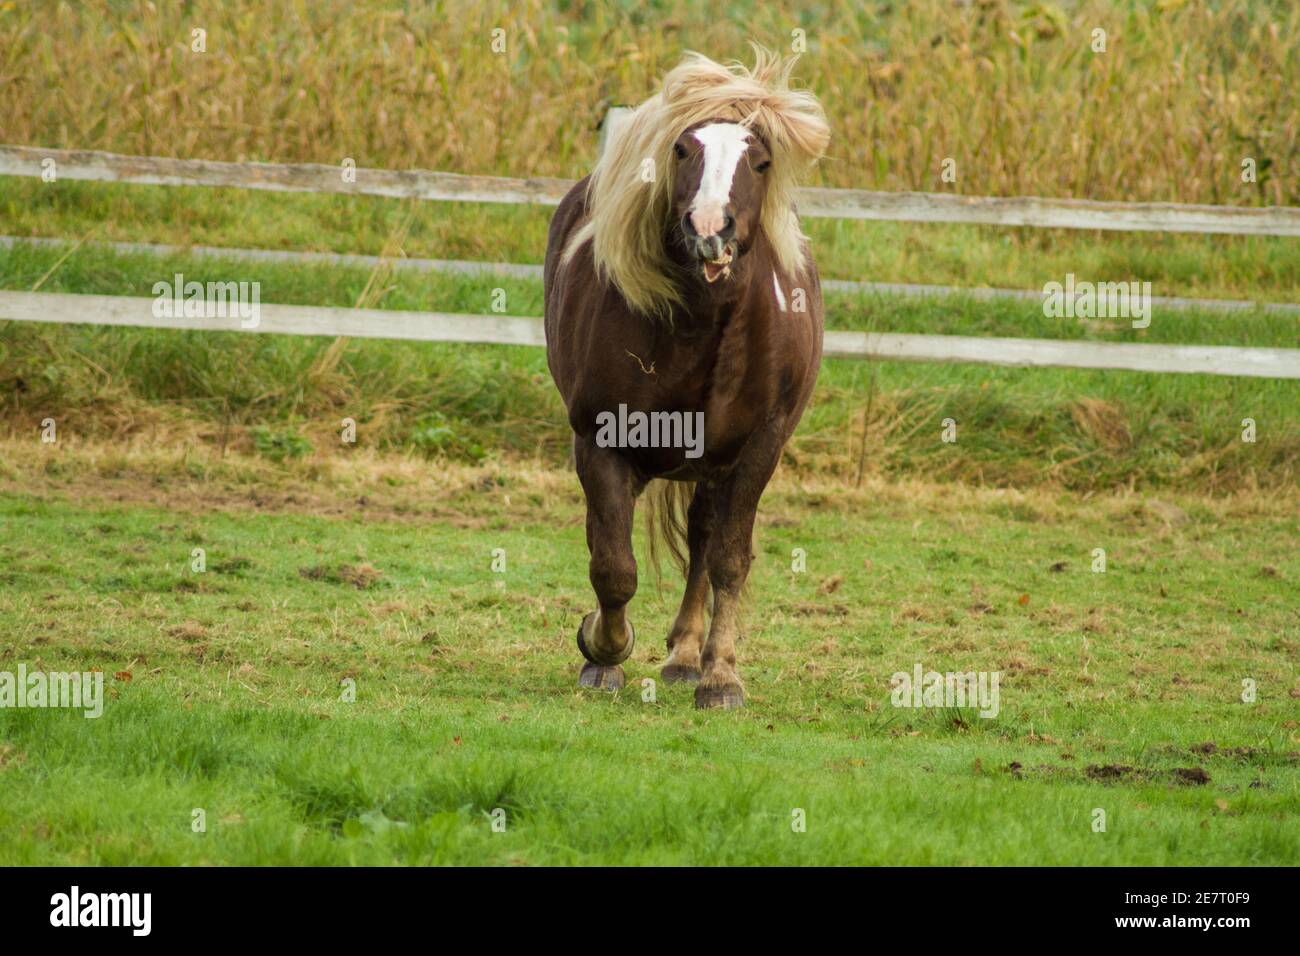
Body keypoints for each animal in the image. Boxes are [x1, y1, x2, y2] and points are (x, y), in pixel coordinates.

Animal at [543, 48, 830, 709]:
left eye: (760, 160)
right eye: (682, 149)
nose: (709, 226)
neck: (702, 325)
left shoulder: (758, 449)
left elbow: (728, 560)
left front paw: (720, 676)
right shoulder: (600, 443)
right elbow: (612, 564)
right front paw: (602, 651)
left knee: (703, 541)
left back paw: (685, 658)